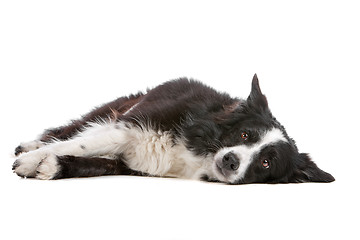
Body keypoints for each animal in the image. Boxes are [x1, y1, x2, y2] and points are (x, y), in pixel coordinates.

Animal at [13, 75, 334, 184]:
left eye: (266, 162)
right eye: (245, 135)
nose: (231, 161)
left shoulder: (131, 163)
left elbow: (92, 162)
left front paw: (52, 166)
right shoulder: (127, 127)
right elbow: (77, 144)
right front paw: (30, 160)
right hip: (111, 110)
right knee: (66, 131)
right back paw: (29, 146)